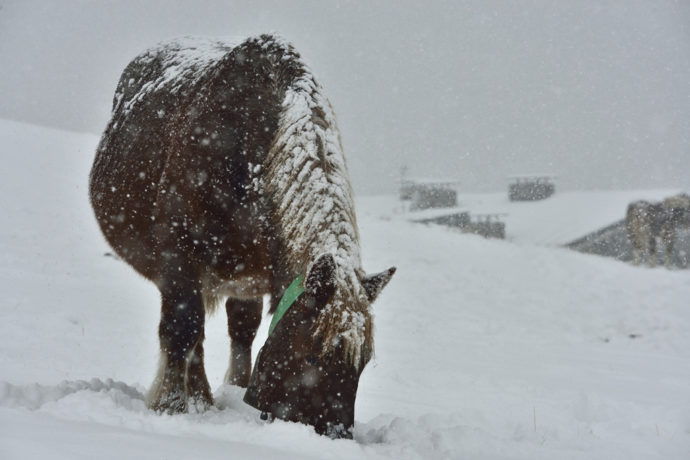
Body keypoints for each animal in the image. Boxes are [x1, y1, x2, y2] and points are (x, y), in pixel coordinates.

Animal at [88, 35, 396, 438]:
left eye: (362, 363)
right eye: (314, 356)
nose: (335, 436)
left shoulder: (255, 276)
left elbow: (238, 334)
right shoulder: (178, 258)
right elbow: (181, 331)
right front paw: (170, 407)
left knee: (236, 333)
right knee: (193, 333)